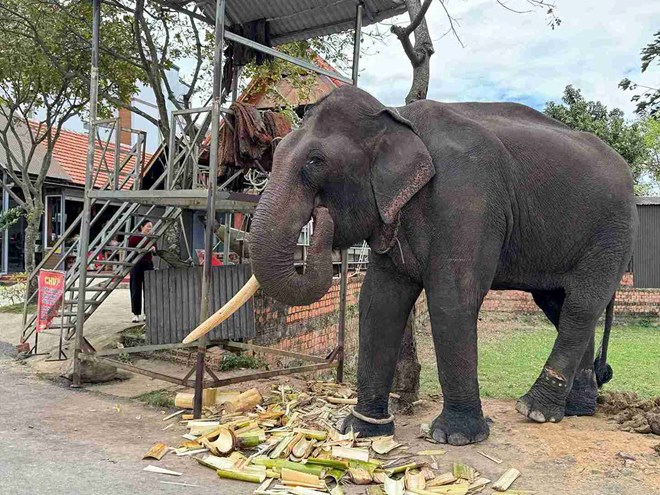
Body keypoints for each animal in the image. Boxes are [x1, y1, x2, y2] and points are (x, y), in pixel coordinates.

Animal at [235, 84, 636, 446]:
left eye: (315, 162)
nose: (320, 217)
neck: (397, 116)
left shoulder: (465, 196)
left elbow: (451, 298)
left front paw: (454, 437)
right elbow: (378, 301)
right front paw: (361, 430)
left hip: (612, 232)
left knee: (581, 306)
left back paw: (534, 409)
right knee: (560, 305)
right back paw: (573, 410)